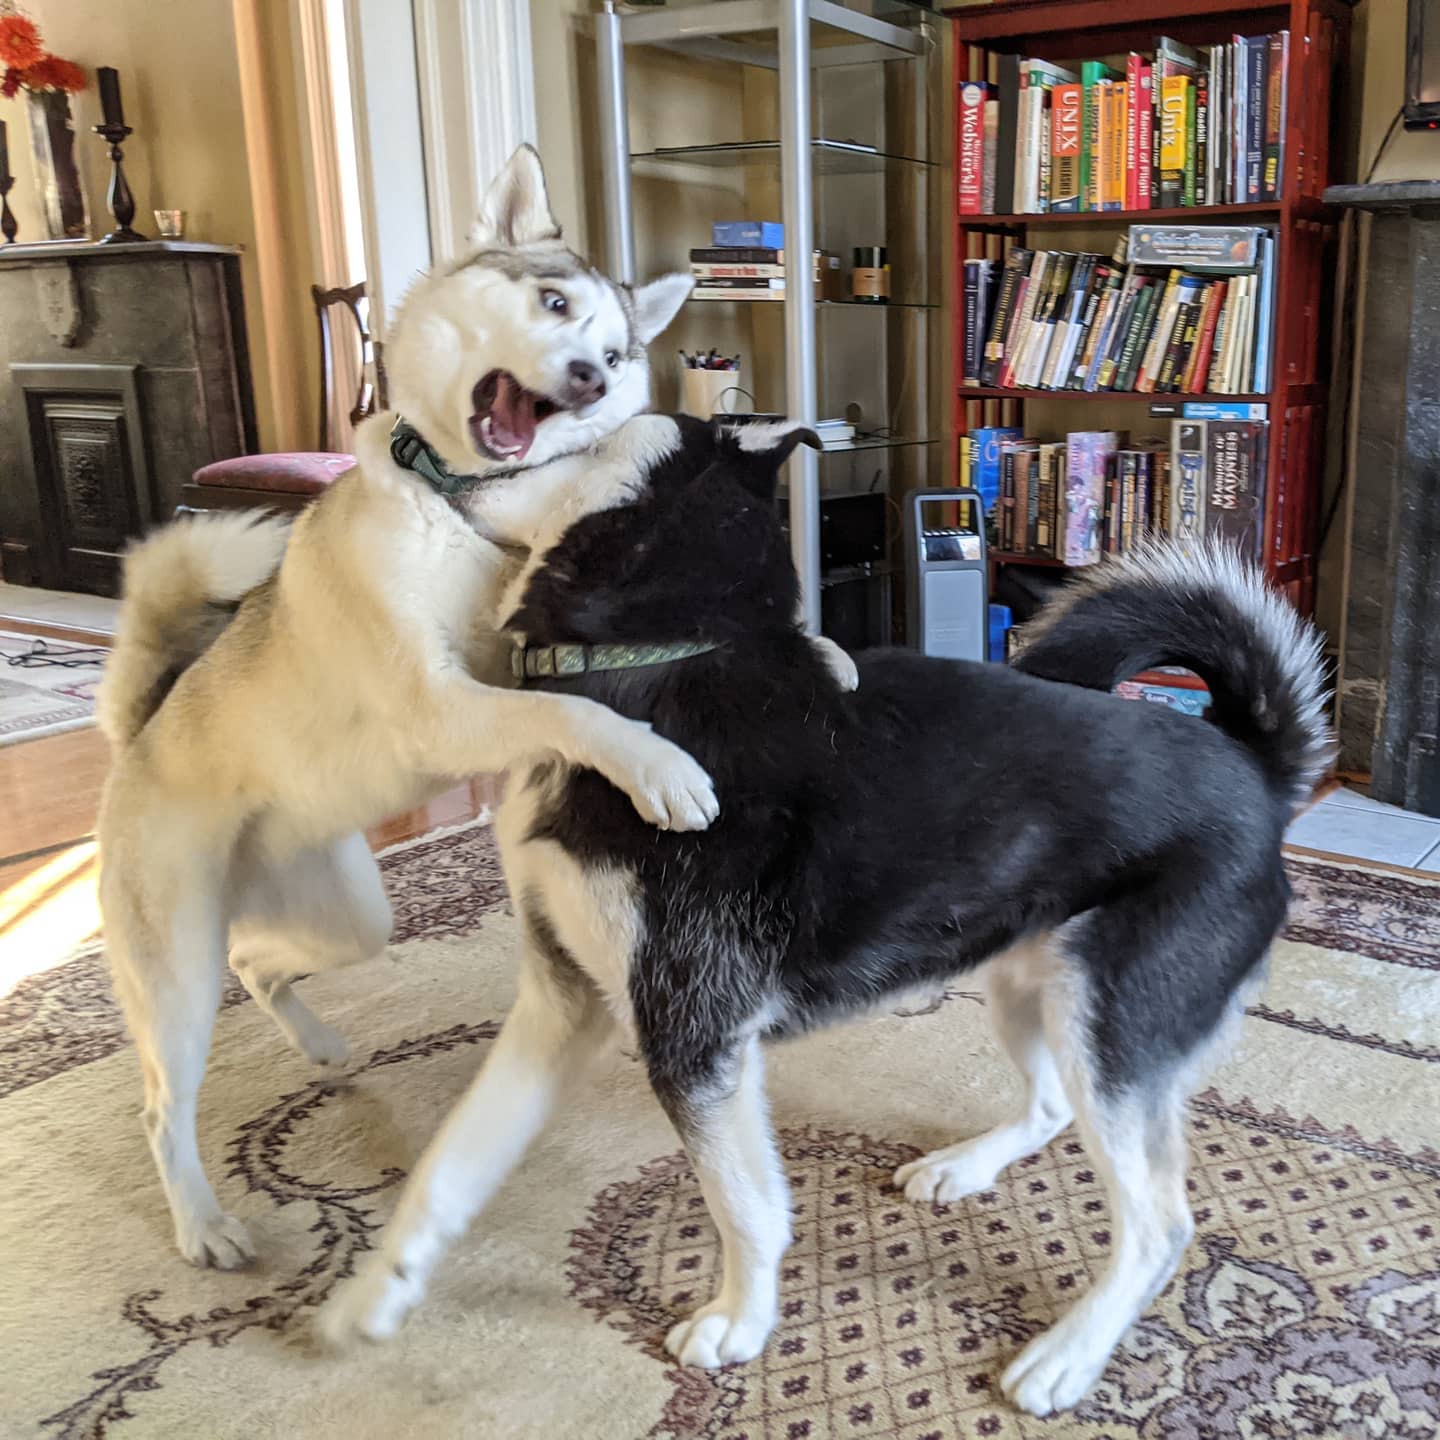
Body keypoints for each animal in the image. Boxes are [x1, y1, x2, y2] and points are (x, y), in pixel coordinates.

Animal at [95, 149, 731, 1272]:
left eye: (617, 350)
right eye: (552, 303)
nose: (592, 378)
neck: (460, 506)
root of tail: (140, 737)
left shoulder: (523, 640)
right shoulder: (444, 705)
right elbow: (587, 722)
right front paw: (660, 770)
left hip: (347, 914)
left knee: (260, 962)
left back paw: (317, 1041)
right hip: (174, 973)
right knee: (162, 1106)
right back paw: (203, 1225)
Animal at [321, 414, 1330, 1416]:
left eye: (592, 411)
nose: (398, 431)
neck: (646, 667)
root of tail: (1256, 770)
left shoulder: (690, 1032)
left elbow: (746, 1205)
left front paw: (741, 1320)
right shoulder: (559, 1002)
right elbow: (448, 1168)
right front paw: (377, 1290)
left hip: (1108, 1020)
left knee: (1159, 1223)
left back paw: (1070, 1354)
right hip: (1030, 986)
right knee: (1048, 1107)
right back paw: (966, 1168)